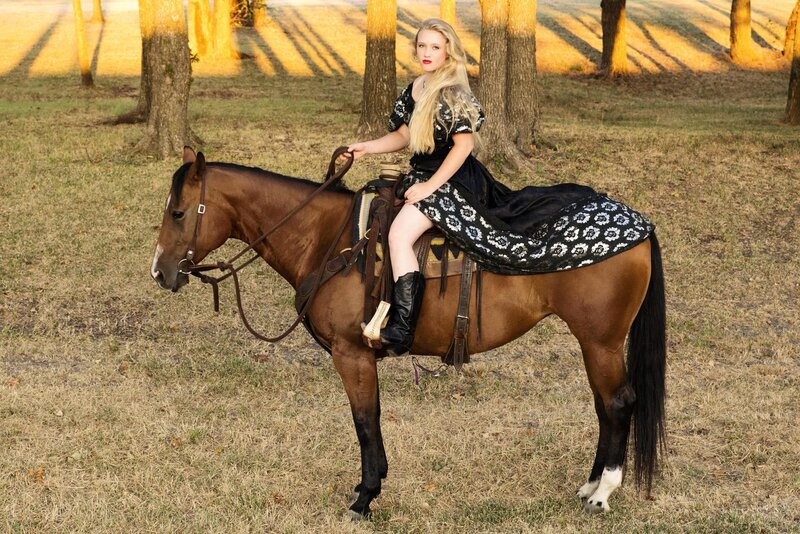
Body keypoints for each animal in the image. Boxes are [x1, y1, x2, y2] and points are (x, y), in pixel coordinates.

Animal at [150, 147, 666, 517]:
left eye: (178, 213)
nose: (159, 272)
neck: (330, 240)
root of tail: (641, 224)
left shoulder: (351, 354)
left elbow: (364, 420)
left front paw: (364, 498)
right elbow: (373, 418)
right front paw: (371, 484)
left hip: (599, 341)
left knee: (619, 403)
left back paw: (603, 492)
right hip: (595, 344)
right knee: (604, 406)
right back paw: (590, 484)